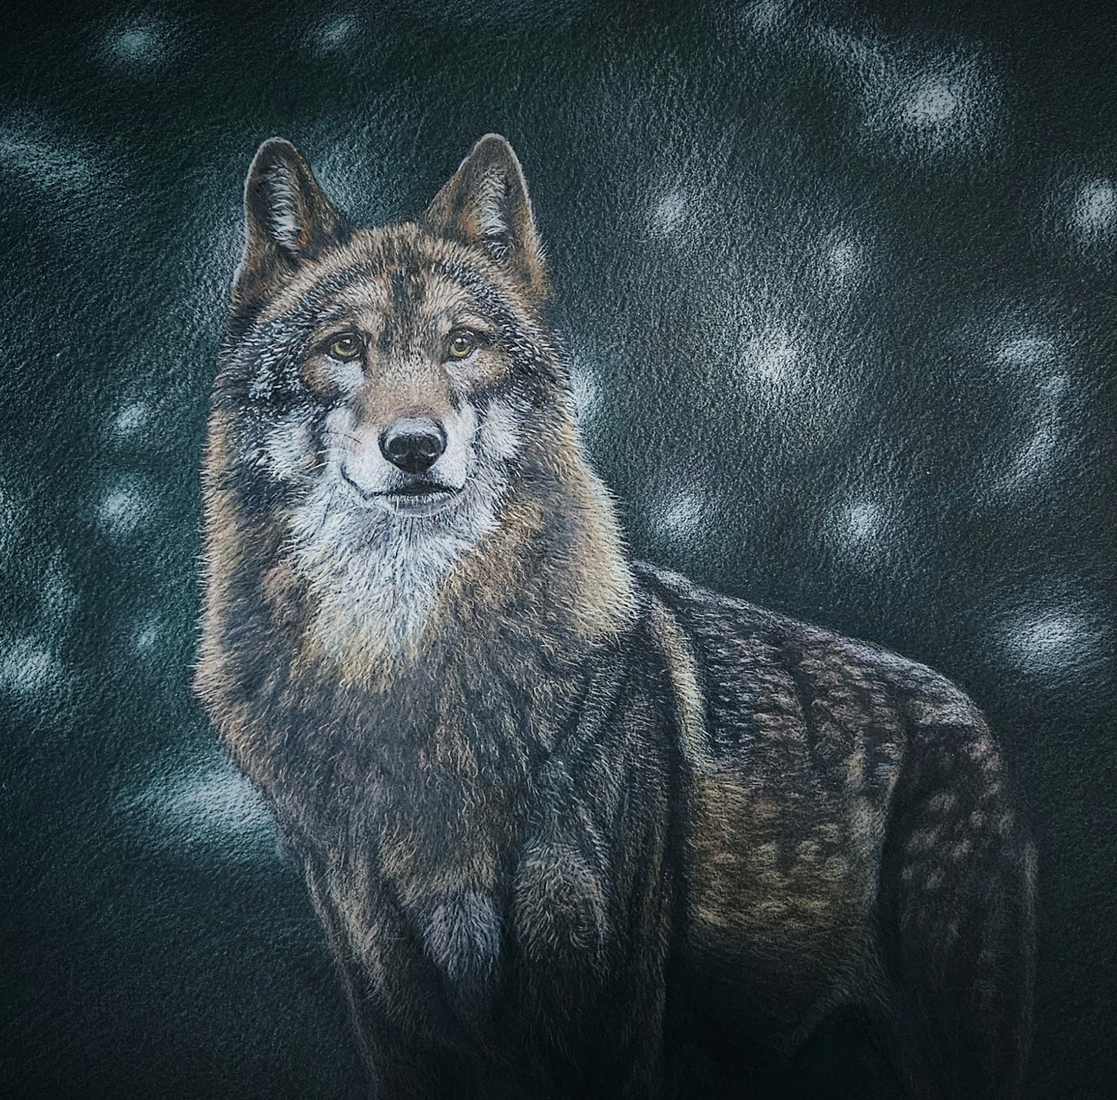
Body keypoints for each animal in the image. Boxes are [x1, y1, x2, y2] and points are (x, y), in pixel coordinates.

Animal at [195, 134, 1035, 1100]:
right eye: (344, 347)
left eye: (460, 345)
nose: (413, 447)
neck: (406, 665)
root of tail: (969, 713)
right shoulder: (399, 1021)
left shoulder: (600, 1008)